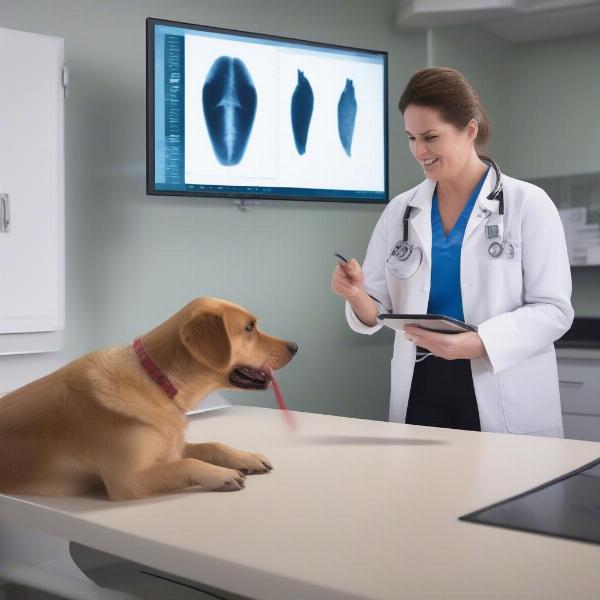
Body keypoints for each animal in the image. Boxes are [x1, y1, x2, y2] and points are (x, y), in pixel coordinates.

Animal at [0, 298, 298, 500]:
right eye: (249, 327)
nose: (296, 346)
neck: (158, 382)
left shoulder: (171, 448)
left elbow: (211, 445)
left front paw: (246, 457)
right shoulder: (128, 480)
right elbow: (188, 463)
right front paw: (221, 474)